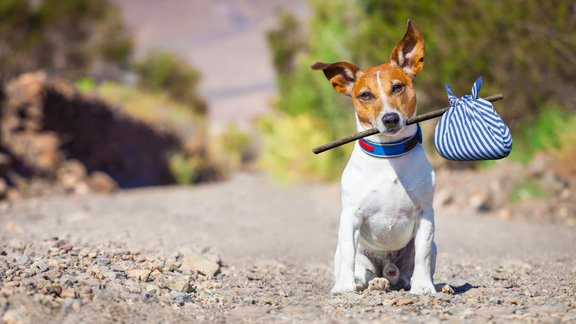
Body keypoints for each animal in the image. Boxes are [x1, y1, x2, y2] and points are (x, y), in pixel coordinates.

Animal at [312, 19, 438, 294]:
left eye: (398, 87)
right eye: (365, 95)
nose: (390, 118)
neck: (389, 155)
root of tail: (388, 269)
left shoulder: (425, 214)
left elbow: (423, 254)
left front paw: (425, 287)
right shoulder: (350, 217)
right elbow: (349, 256)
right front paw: (344, 288)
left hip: (425, 250)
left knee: (407, 274)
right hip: (351, 253)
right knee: (363, 272)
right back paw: (372, 282)